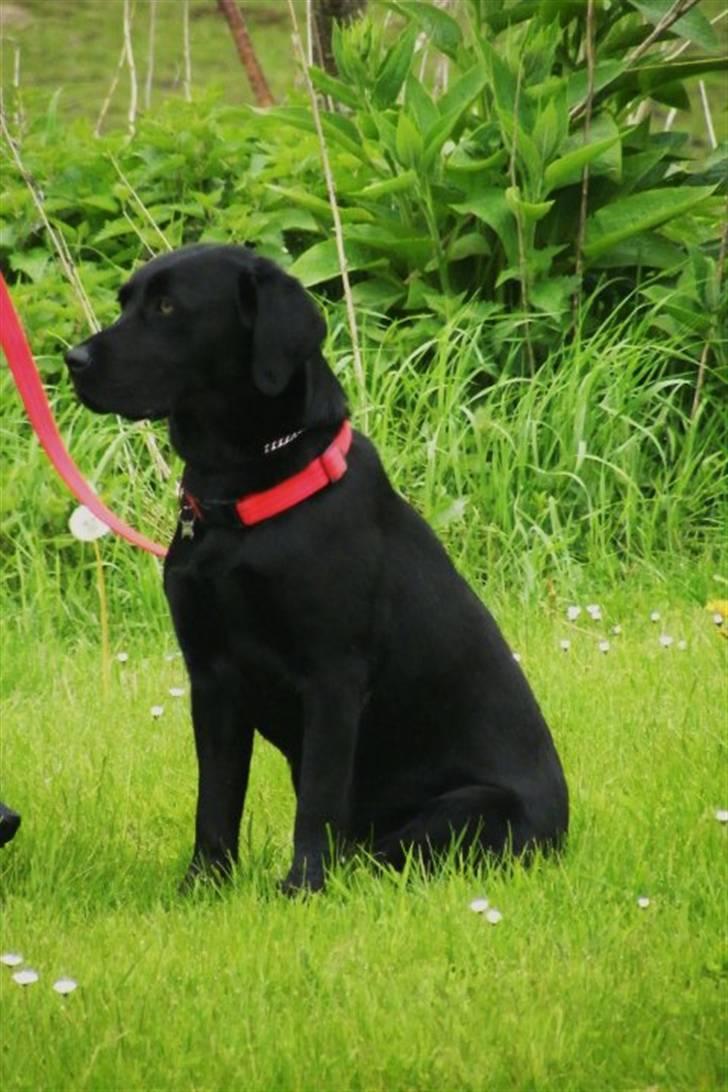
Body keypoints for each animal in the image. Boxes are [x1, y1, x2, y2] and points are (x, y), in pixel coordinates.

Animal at [65, 243, 567, 891]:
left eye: (168, 307)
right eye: (126, 301)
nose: (73, 359)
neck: (238, 501)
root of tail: (563, 834)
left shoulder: (333, 676)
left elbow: (320, 801)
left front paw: (302, 885)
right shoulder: (212, 678)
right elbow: (216, 799)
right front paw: (204, 884)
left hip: (469, 807)